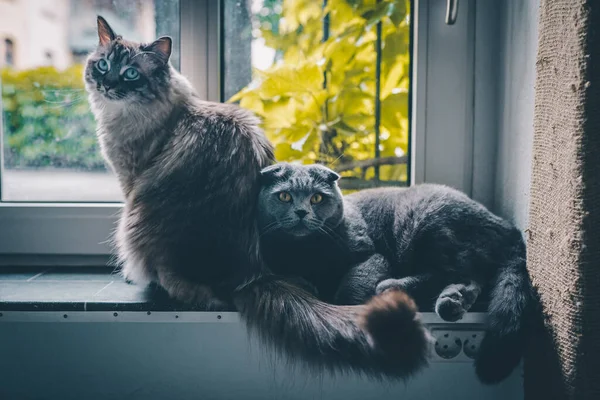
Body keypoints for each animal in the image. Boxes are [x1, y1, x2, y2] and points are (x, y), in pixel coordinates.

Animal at [83, 16, 432, 382]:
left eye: (130, 73)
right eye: (103, 64)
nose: (106, 84)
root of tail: (252, 274)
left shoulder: (129, 182)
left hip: (134, 223)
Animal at [258, 162, 536, 384]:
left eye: (316, 198)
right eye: (284, 196)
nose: (301, 212)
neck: (306, 253)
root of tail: (507, 226)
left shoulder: (370, 256)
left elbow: (348, 292)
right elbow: (291, 278)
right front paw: (306, 284)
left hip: (426, 222)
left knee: (449, 272)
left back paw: (394, 288)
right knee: (470, 279)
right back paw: (451, 303)